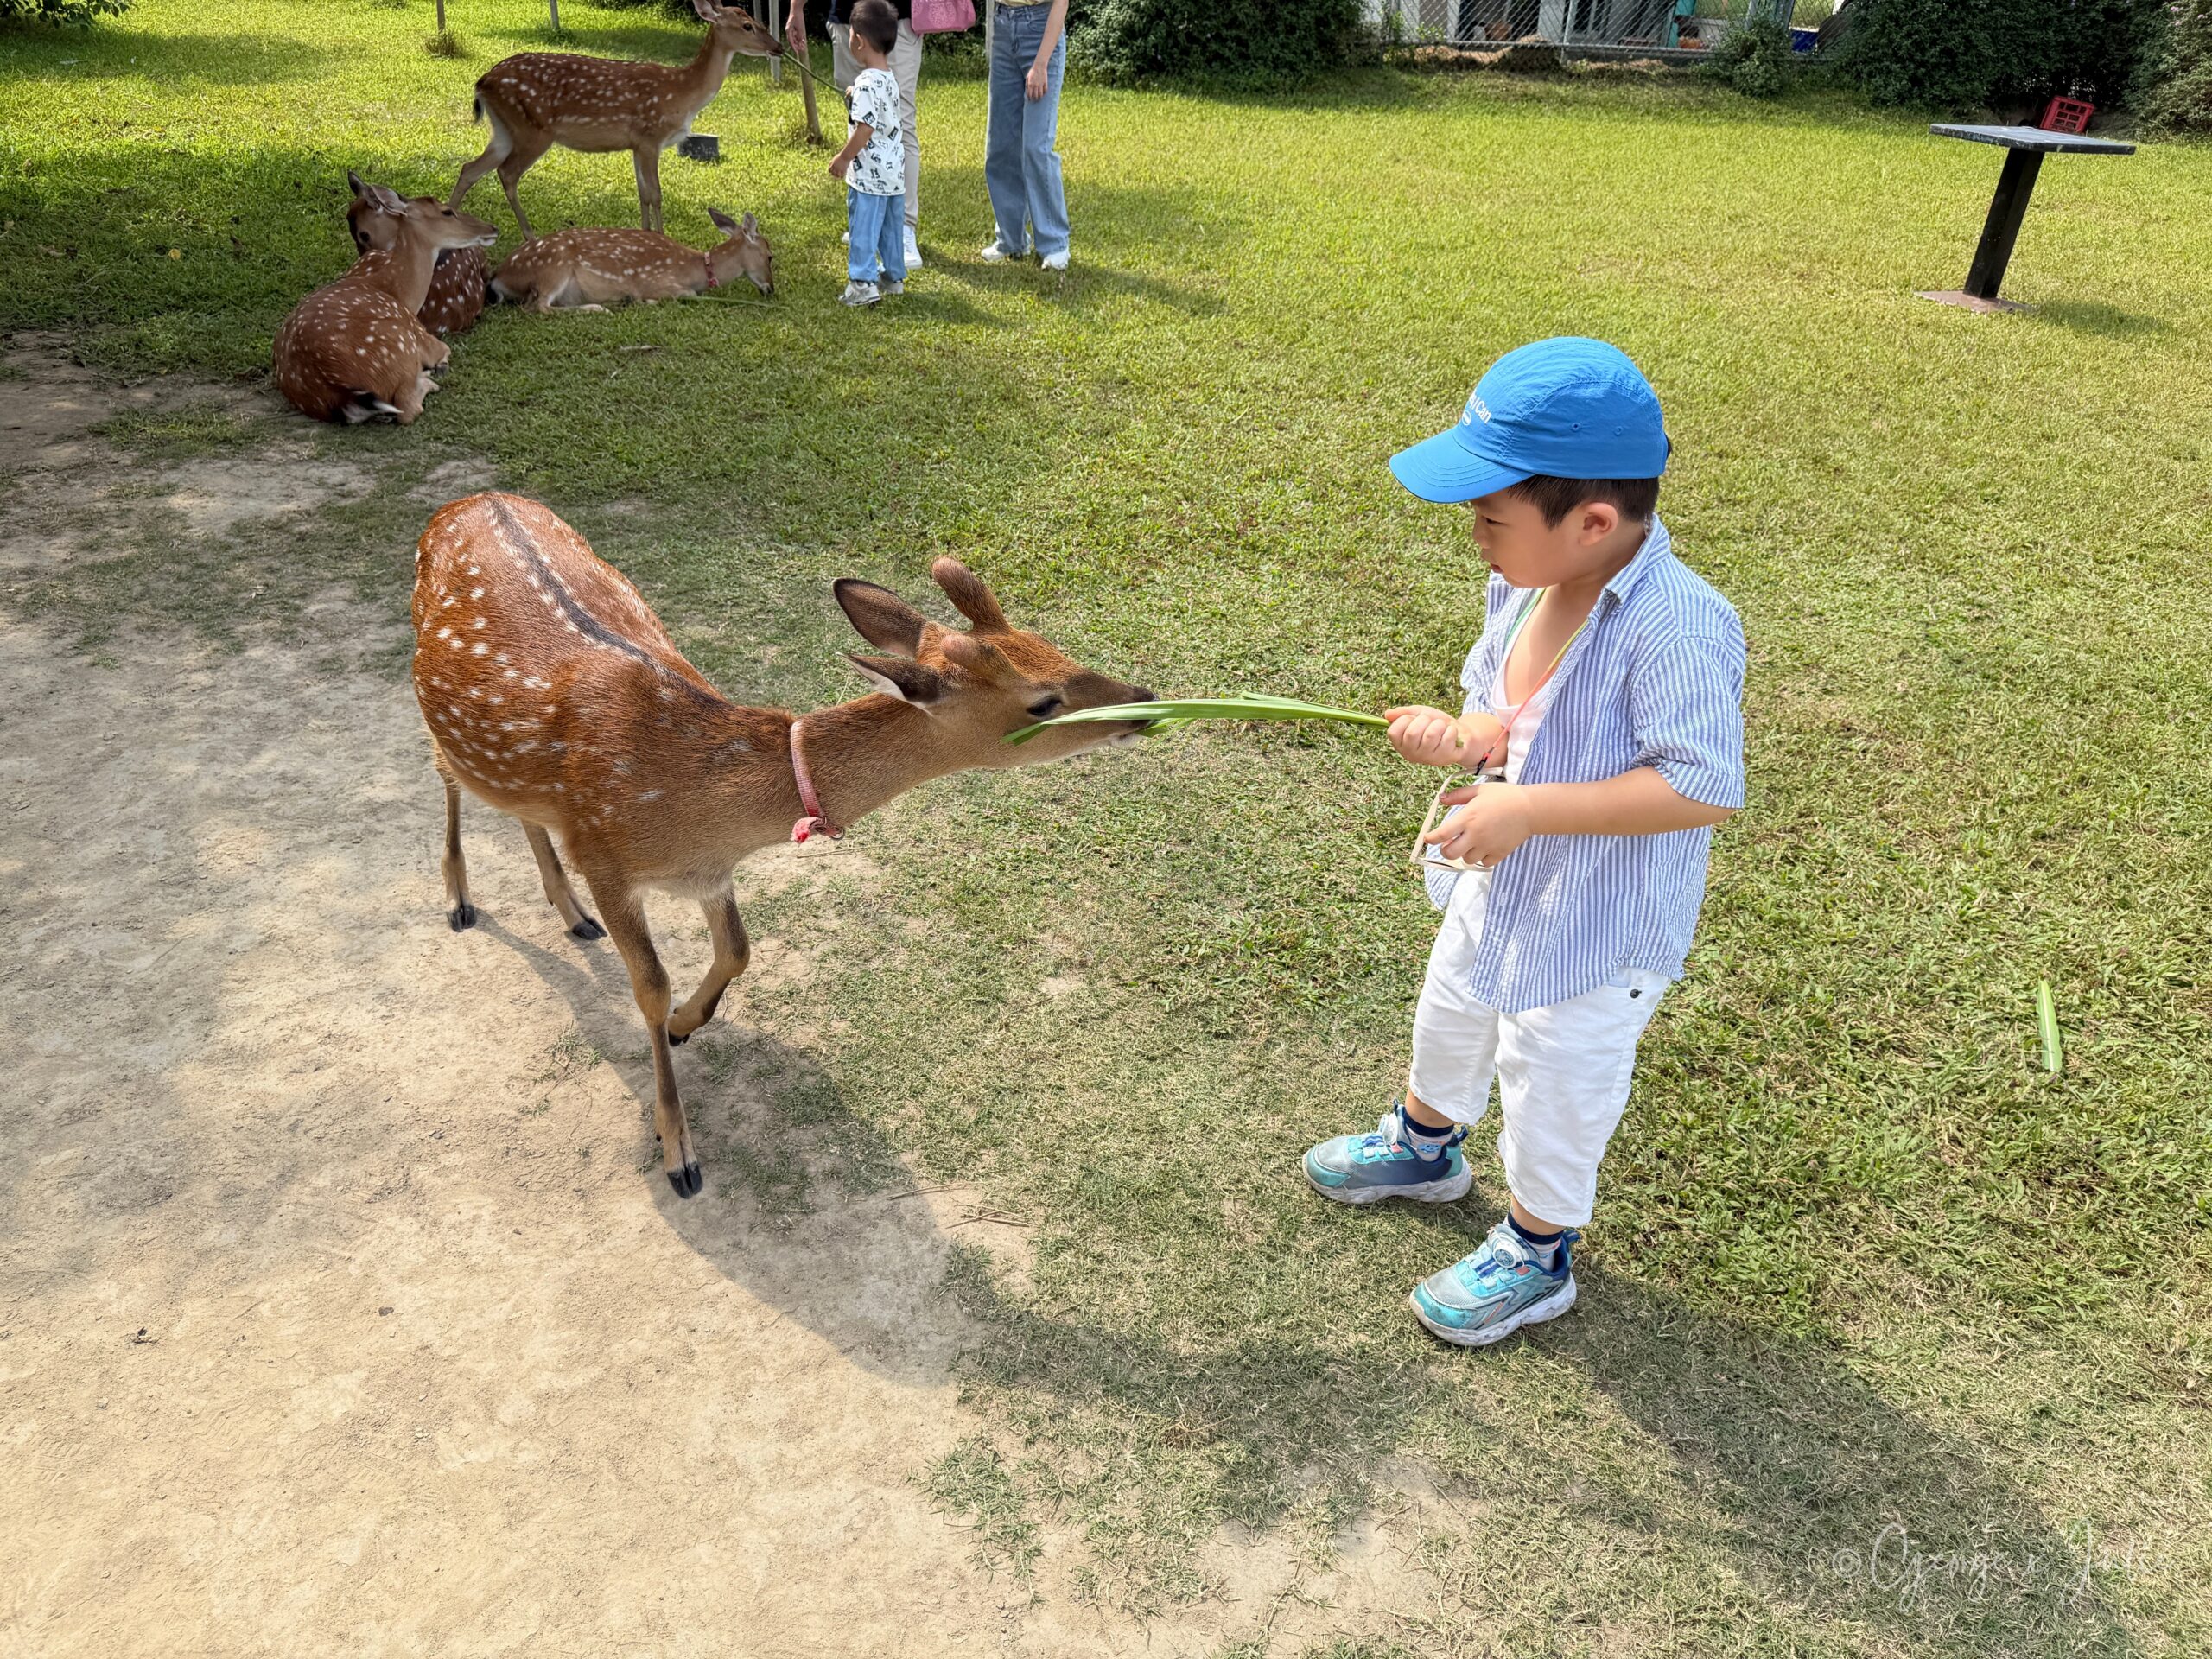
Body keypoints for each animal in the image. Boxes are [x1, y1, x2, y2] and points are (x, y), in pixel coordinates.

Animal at [412, 493, 1155, 1198]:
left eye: (1052, 644)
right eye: (1043, 702)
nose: (1144, 701)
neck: (689, 806)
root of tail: (464, 502)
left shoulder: (709, 873)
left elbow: (738, 950)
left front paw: (686, 1023)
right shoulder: (604, 855)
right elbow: (649, 987)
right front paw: (678, 1150)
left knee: (515, 807)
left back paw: (570, 915)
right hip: (431, 702)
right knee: (445, 772)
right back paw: (459, 900)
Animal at [450, 0, 782, 243]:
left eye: (761, 22)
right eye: (747, 25)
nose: (779, 47)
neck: (683, 94)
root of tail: (483, 82)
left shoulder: (636, 144)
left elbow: (643, 194)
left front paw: (645, 236)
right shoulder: (651, 136)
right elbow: (656, 194)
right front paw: (663, 239)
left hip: (504, 129)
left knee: (470, 169)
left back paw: (449, 224)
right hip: (532, 129)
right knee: (506, 173)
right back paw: (529, 236)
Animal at [489, 209, 773, 310]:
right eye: (770, 256)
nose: (771, 289)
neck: (694, 270)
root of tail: (497, 276)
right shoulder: (656, 281)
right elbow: (687, 295)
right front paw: (644, 300)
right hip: (553, 267)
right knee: (539, 307)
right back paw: (602, 307)